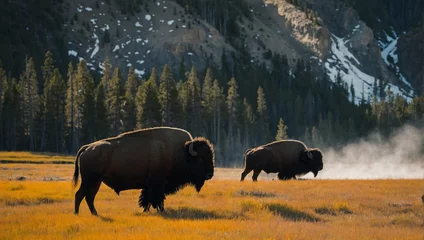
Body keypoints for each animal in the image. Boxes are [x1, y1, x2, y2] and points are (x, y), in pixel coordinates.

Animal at [72, 126, 215, 215]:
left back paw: (92, 213)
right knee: (82, 195)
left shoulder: (151, 185)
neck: (182, 152)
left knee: (87, 197)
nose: (210, 174)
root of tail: (87, 147)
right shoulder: (158, 184)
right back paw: (80, 213)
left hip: (95, 182)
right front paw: (160, 211)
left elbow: (148, 199)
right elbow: (156, 199)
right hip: (90, 181)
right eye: (201, 158)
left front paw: (146, 210)